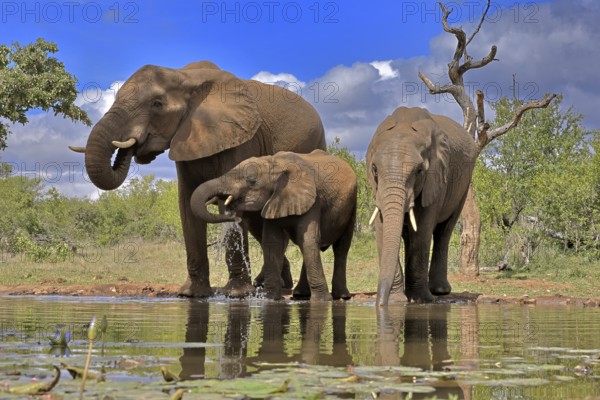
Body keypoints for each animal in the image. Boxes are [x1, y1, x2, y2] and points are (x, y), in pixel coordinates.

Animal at [69, 59, 328, 296]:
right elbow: (186, 203)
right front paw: (191, 294)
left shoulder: (241, 139)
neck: (184, 76)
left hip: (315, 144)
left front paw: (236, 293)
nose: (129, 148)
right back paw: (271, 284)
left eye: (157, 104)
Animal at [190, 150, 356, 300]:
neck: (275, 164)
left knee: (341, 247)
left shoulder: (314, 201)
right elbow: (272, 242)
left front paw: (322, 301)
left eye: (251, 180)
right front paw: (271, 298)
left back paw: (342, 296)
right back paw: (300, 294)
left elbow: (309, 239)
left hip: (352, 206)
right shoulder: (272, 200)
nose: (235, 217)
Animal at [366, 104, 478, 304]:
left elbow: (423, 229)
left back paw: (440, 291)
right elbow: (382, 227)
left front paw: (419, 300)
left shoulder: (436, 177)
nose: (380, 303)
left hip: (464, 185)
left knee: (444, 232)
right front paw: (397, 301)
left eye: (419, 171)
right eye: (374, 169)